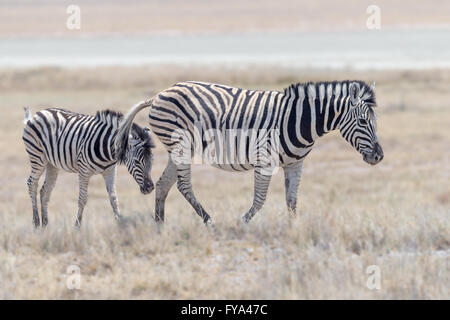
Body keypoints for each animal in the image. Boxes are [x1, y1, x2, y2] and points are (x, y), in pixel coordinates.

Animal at [23, 102, 156, 228]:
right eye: (136, 161)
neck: (108, 150)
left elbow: (114, 198)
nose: (150, 188)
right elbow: (82, 199)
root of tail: (39, 113)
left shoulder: (110, 171)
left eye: (151, 160)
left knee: (45, 190)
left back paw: (45, 225)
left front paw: (120, 224)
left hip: (52, 164)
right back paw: (36, 223)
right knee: (32, 183)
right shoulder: (84, 171)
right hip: (37, 157)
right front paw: (77, 226)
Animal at [116, 80, 384, 225]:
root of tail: (159, 94)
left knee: (163, 184)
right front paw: (242, 223)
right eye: (362, 121)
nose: (378, 157)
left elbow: (292, 200)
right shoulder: (265, 161)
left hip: (179, 150)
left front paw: (294, 229)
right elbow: (260, 200)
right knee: (183, 185)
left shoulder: (295, 164)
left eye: (375, 121)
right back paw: (209, 221)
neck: (299, 119)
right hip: (181, 145)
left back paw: (159, 225)